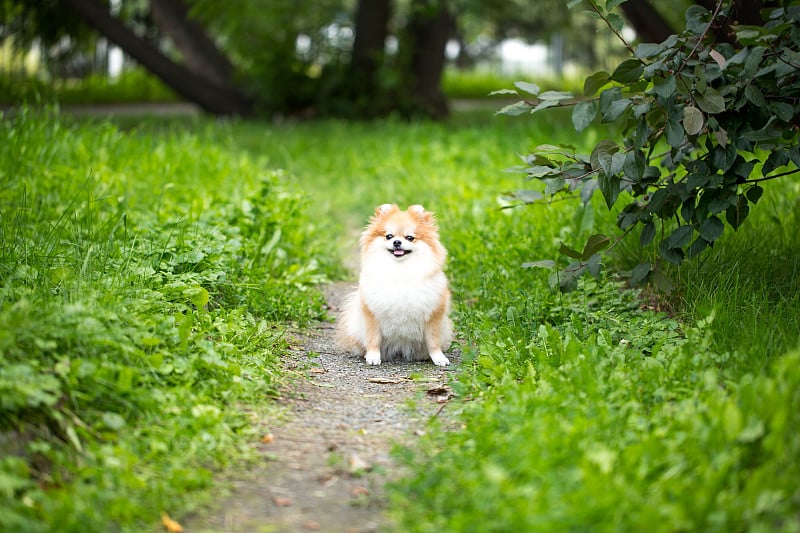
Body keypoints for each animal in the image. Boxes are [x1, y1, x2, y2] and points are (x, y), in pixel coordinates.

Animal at [336, 204, 454, 366]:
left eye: (409, 237)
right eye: (389, 236)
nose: (397, 242)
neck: (400, 270)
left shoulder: (434, 313)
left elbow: (433, 341)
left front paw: (439, 358)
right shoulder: (372, 313)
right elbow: (373, 338)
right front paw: (373, 356)